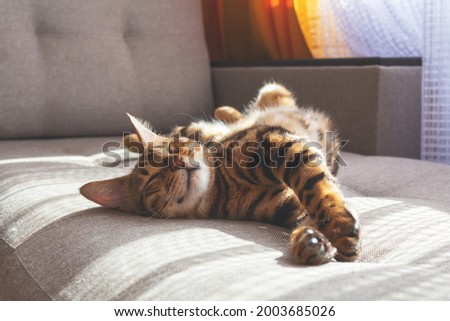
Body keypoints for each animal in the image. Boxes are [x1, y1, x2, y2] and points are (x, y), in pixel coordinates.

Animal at [81, 83, 360, 264]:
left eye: (175, 149)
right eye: (152, 182)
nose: (179, 162)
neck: (223, 187)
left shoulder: (274, 140)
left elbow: (317, 189)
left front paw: (339, 228)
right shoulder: (288, 207)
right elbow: (311, 210)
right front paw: (311, 242)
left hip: (260, 99)